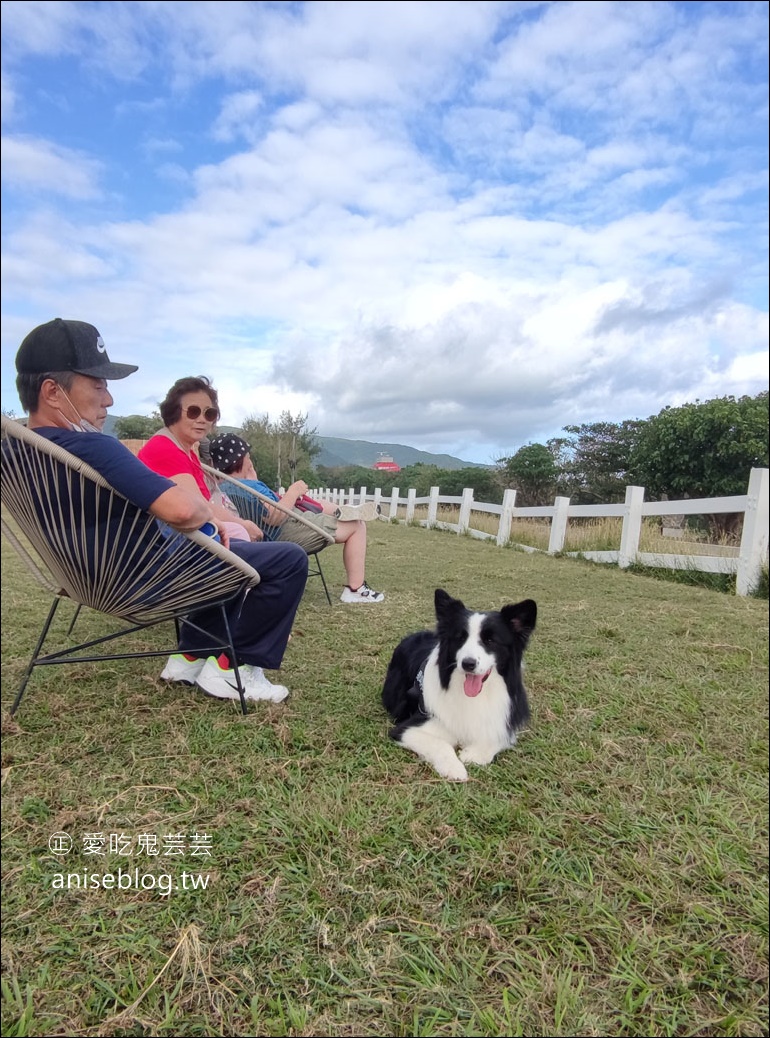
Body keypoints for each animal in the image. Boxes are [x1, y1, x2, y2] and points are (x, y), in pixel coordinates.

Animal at [383, 593, 539, 780]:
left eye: (490, 640)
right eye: (460, 638)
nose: (468, 664)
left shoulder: (506, 722)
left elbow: (495, 737)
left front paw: (473, 754)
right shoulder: (407, 728)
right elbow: (440, 744)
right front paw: (454, 768)